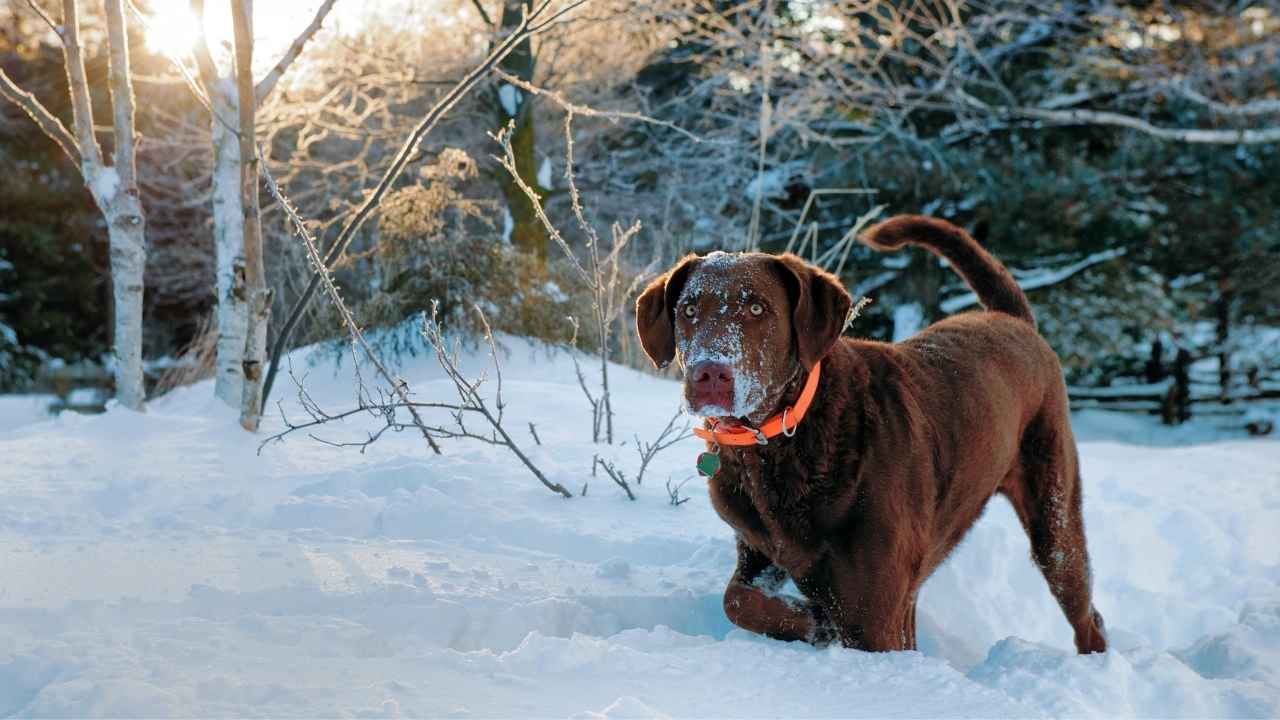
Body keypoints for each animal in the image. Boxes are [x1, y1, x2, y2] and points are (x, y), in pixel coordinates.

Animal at [634, 212, 1105, 650]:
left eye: (756, 309)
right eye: (688, 310)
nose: (709, 373)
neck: (785, 440)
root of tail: (1013, 320)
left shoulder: (874, 614)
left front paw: (821, 622)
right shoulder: (760, 549)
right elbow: (735, 599)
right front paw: (814, 621)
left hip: (1054, 519)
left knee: (1086, 613)